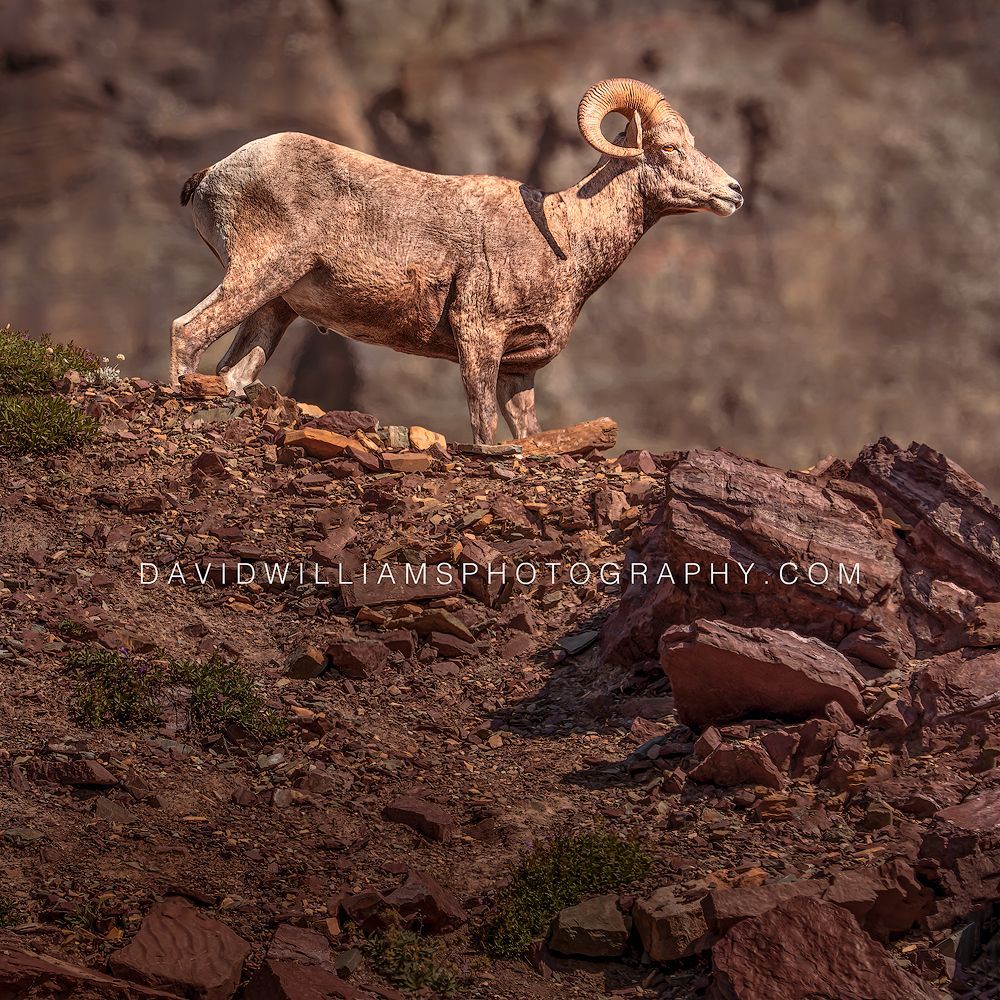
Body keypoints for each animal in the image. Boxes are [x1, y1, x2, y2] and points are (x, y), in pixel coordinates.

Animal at [171, 78, 742, 443]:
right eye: (668, 149)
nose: (733, 192)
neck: (564, 238)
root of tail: (214, 173)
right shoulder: (478, 339)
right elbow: (482, 428)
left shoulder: (519, 372)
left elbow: (525, 434)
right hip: (259, 274)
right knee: (187, 330)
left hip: (275, 309)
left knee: (233, 371)